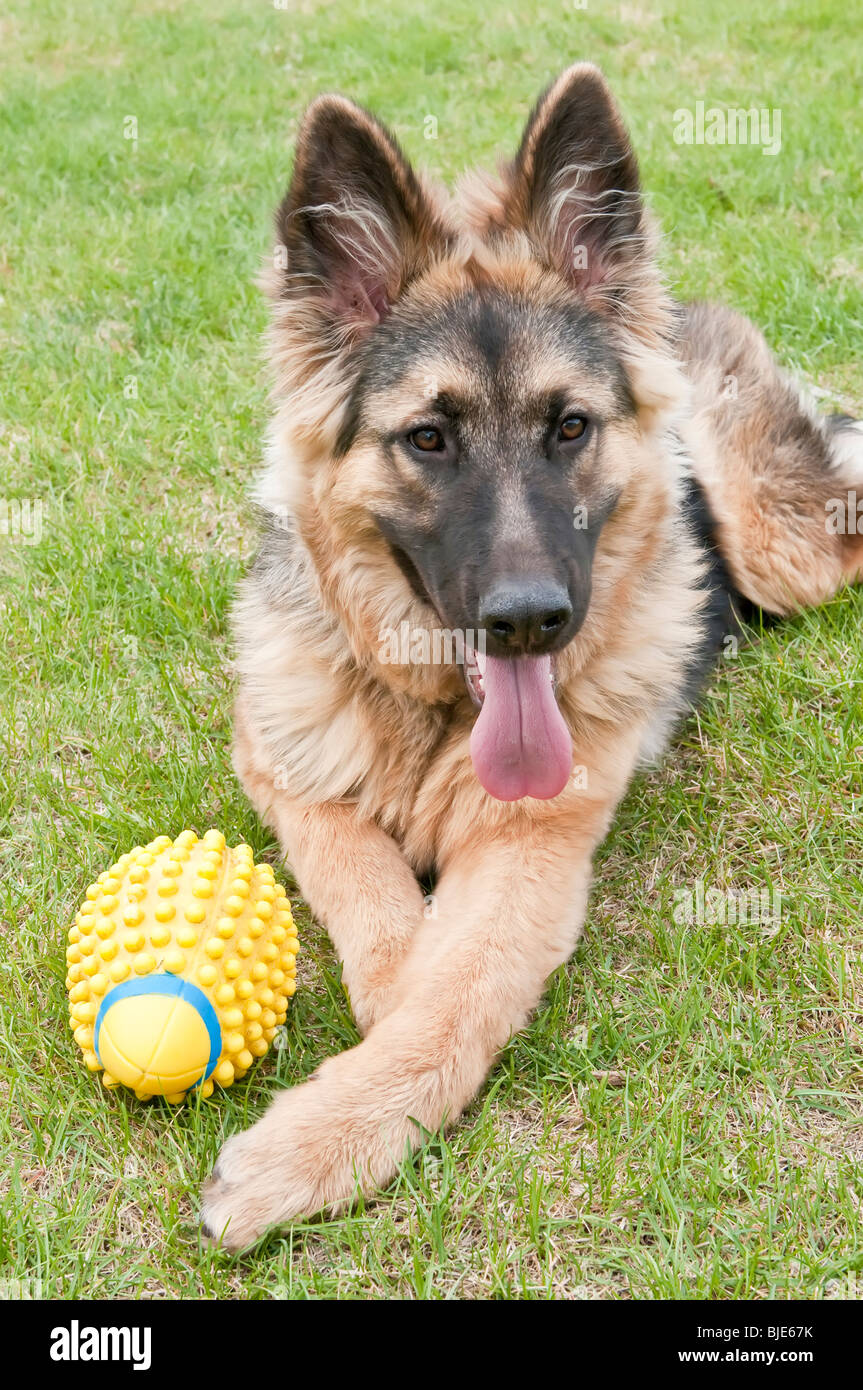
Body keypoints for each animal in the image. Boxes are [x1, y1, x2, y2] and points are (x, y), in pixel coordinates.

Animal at [200, 65, 856, 1251]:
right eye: (427, 438)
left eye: (568, 427)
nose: (528, 619)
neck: (429, 715)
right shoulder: (282, 769)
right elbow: (374, 899)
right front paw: (383, 998)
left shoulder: (531, 855)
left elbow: (451, 1000)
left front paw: (310, 1146)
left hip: (785, 550)